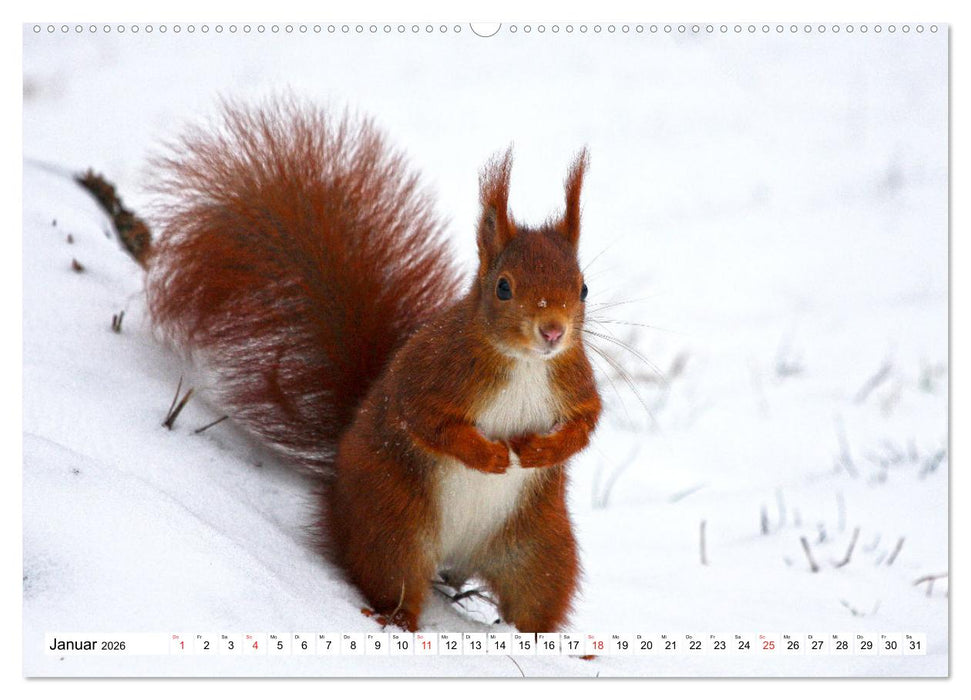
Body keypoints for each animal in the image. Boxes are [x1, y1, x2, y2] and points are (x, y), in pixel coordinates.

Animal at [146, 98, 602, 633]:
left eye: (583, 288)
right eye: (503, 287)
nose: (552, 331)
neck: (526, 364)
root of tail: (458, 558)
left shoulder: (573, 381)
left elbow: (585, 424)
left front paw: (538, 450)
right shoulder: (433, 372)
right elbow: (427, 419)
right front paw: (490, 455)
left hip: (539, 548)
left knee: (536, 600)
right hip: (394, 524)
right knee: (394, 578)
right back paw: (397, 617)